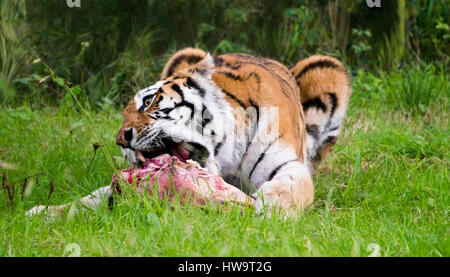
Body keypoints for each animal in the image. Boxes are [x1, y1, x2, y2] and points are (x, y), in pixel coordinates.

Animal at [25, 47, 352, 217]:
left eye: (148, 101)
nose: (121, 140)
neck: (227, 158)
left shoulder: (288, 164)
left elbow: (291, 185)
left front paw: (272, 208)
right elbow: (96, 194)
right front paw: (42, 211)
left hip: (329, 68)